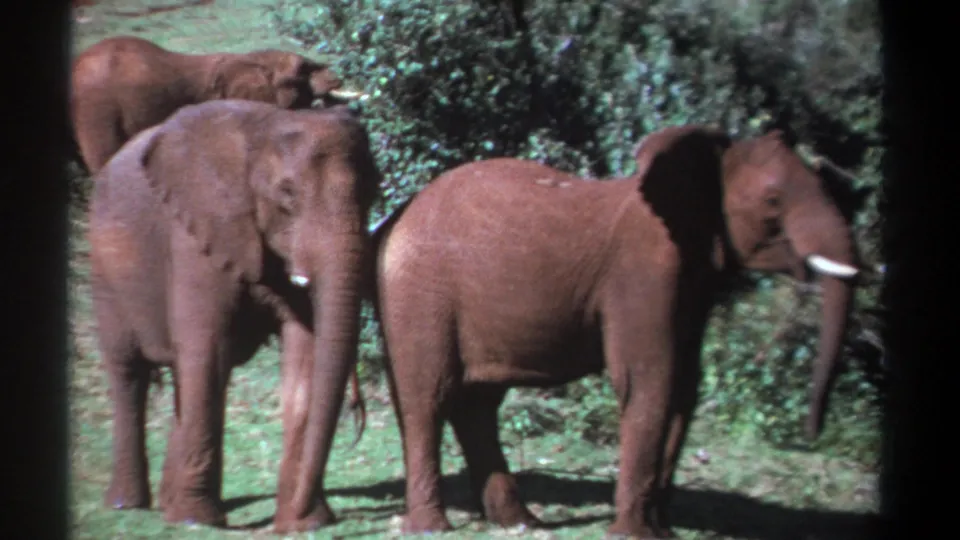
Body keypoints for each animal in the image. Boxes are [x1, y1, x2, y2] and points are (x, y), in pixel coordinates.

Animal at [88, 99, 380, 533]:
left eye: (373, 190)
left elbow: (306, 353)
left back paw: (168, 503)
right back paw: (130, 505)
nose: (357, 418)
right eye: (287, 194)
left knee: (182, 375)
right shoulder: (196, 232)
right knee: (130, 374)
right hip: (105, 272)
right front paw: (198, 522)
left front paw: (305, 523)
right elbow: (209, 351)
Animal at [369, 125, 860, 538]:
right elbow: (649, 381)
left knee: (477, 405)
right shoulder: (643, 273)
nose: (813, 434)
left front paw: (661, 532)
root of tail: (394, 218)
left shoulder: (690, 282)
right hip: (418, 293)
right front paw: (634, 534)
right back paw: (433, 527)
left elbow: (684, 388)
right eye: (774, 201)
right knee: (428, 398)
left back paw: (520, 522)